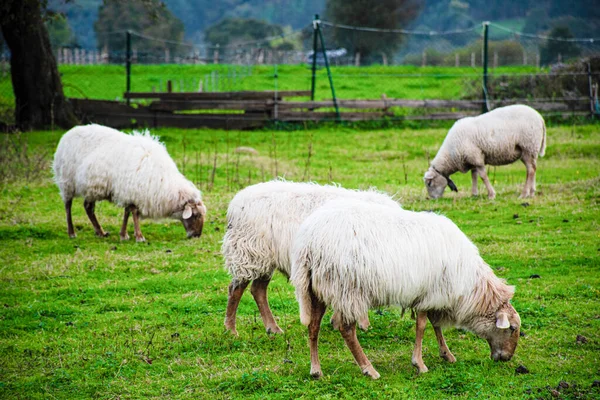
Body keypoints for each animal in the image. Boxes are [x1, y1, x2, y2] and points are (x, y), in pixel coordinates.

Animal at [52, 123, 206, 241]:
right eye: (196, 215)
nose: (197, 236)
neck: (164, 183)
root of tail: (68, 133)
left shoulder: (130, 192)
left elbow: (127, 212)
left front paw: (124, 234)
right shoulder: (132, 190)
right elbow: (134, 213)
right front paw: (139, 236)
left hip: (91, 188)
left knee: (88, 207)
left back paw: (100, 232)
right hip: (67, 181)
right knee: (68, 205)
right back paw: (72, 232)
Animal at [221, 180, 404, 336]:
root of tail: (235, 204)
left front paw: (338, 321)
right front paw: (362, 324)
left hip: (264, 258)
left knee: (258, 289)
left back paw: (272, 328)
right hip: (249, 252)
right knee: (236, 289)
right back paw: (231, 330)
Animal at [292, 198, 524, 380]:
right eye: (512, 328)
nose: (506, 359)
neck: (472, 287)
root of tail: (309, 243)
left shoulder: (433, 295)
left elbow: (436, 324)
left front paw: (446, 354)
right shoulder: (428, 294)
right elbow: (422, 326)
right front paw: (419, 364)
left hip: (317, 289)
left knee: (313, 327)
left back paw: (316, 371)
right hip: (347, 290)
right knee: (347, 330)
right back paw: (369, 369)